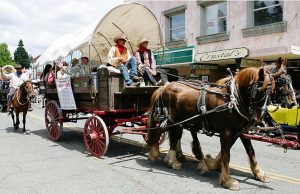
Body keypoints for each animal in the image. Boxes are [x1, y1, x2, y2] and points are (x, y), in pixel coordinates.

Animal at [146, 66, 276, 189]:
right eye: (257, 90)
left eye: (271, 93)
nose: (257, 119)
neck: (231, 99)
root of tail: (164, 87)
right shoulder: (226, 132)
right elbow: (226, 155)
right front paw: (227, 180)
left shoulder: (240, 131)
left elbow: (250, 151)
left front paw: (259, 173)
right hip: (169, 120)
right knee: (159, 133)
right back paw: (157, 153)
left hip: (178, 122)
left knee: (174, 137)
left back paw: (173, 159)